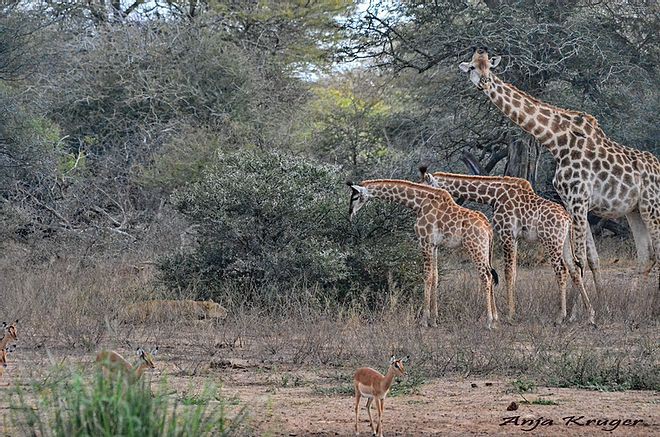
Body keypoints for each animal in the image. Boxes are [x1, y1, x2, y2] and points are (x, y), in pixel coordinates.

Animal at [348, 177, 498, 328]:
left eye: (355, 197)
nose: (350, 214)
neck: (418, 204)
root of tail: (488, 227)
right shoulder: (434, 245)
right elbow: (435, 276)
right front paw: (434, 319)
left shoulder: (424, 242)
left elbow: (427, 276)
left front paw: (424, 320)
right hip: (486, 251)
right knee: (491, 275)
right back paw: (495, 319)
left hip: (475, 247)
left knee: (486, 277)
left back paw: (488, 321)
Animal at [420, 165, 596, 326]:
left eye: (425, 185)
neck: (493, 195)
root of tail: (567, 219)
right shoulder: (515, 238)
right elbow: (515, 272)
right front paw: (513, 311)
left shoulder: (506, 234)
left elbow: (508, 272)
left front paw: (509, 315)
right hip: (564, 241)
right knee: (574, 268)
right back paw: (588, 315)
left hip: (551, 240)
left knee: (562, 270)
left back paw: (560, 317)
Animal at [458, 46, 660, 310]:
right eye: (472, 67)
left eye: (490, 67)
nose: (484, 82)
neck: (557, 141)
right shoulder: (573, 202)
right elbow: (588, 260)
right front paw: (600, 303)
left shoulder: (579, 199)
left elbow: (579, 259)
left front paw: (577, 311)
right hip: (635, 210)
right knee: (647, 256)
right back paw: (636, 304)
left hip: (652, 206)